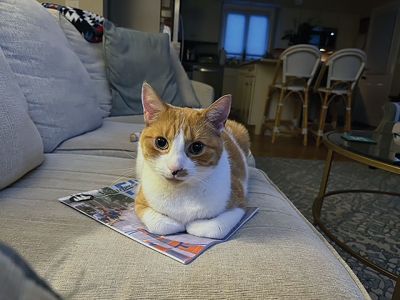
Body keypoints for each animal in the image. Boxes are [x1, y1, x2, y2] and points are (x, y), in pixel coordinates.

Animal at [136, 82, 252, 239]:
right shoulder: (140, 201)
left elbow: (215, 228)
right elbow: (161, 225)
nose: (175, 168)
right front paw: (177, 224)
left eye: (197, 147)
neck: (181, 193)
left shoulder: (240, 203)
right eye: (161, 142)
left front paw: (195, 225)